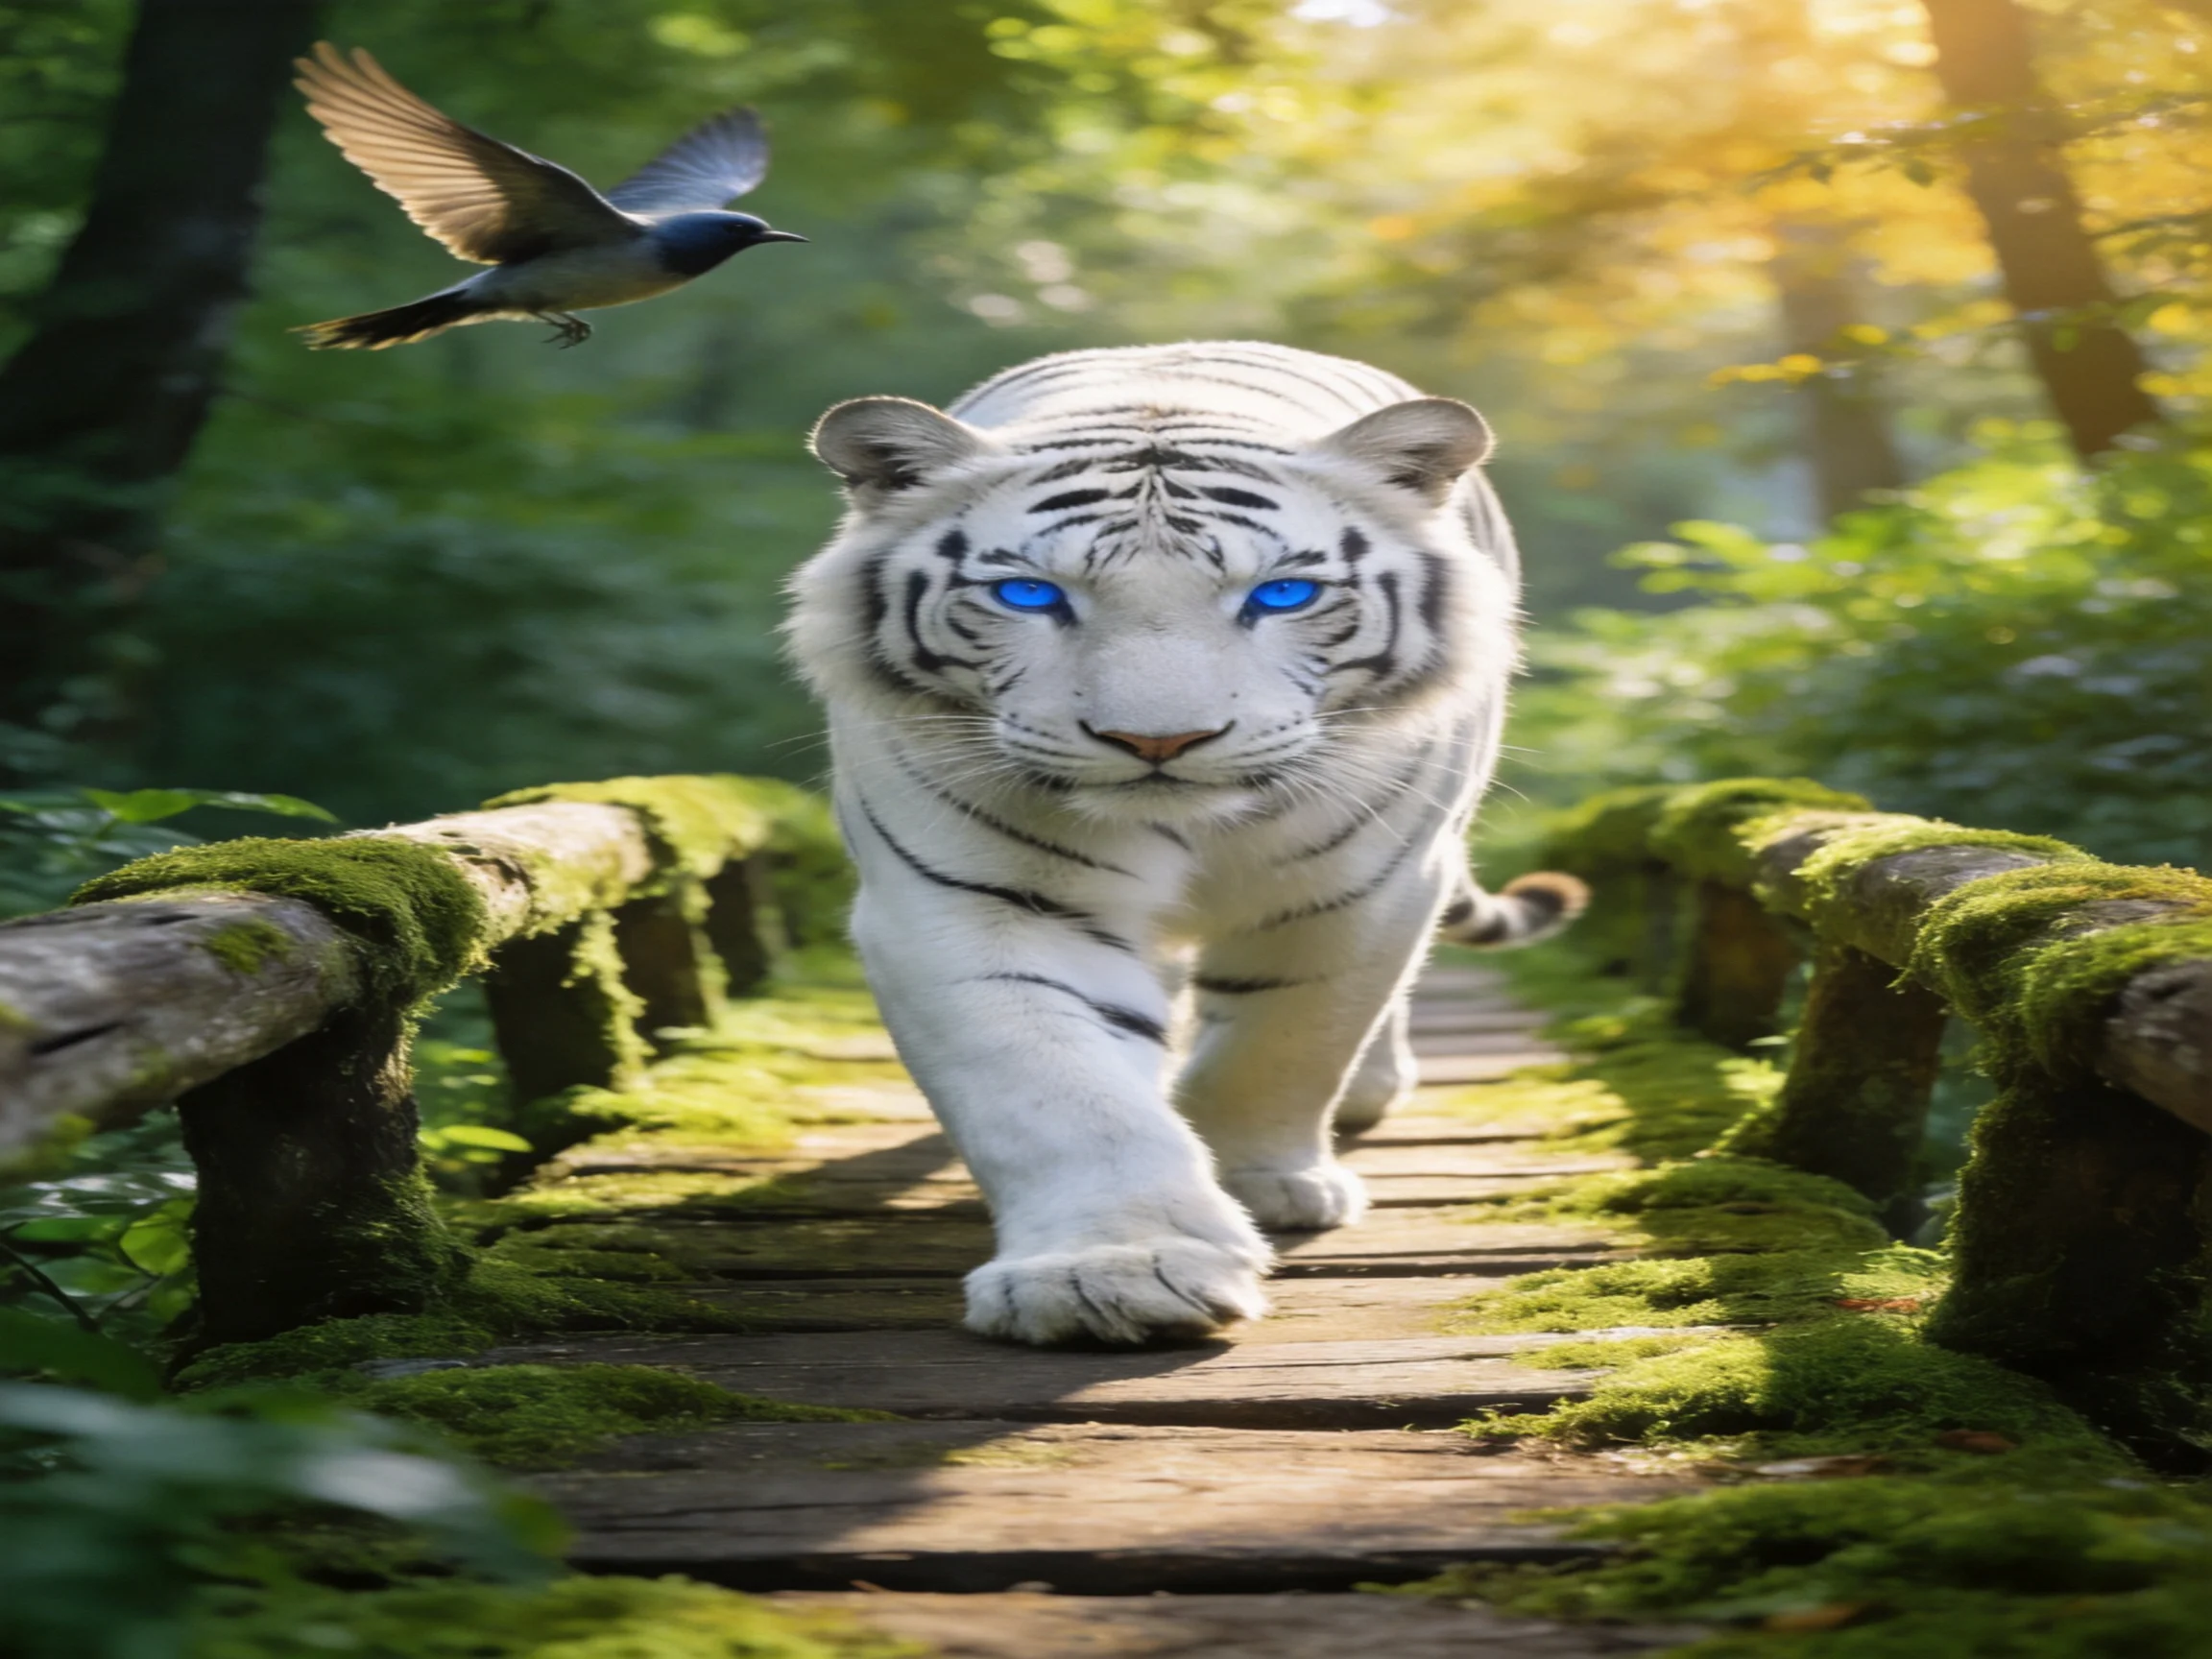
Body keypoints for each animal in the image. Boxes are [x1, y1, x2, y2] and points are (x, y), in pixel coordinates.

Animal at [786, 340, 1585, 1347]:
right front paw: (1112, 1272)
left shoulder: (1362, 888)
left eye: (1283, 594)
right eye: (1028, 593)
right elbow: (1055, 1085)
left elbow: (1286, 1040)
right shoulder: (972, 896)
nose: (1157, 742)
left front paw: (1261, 1179)